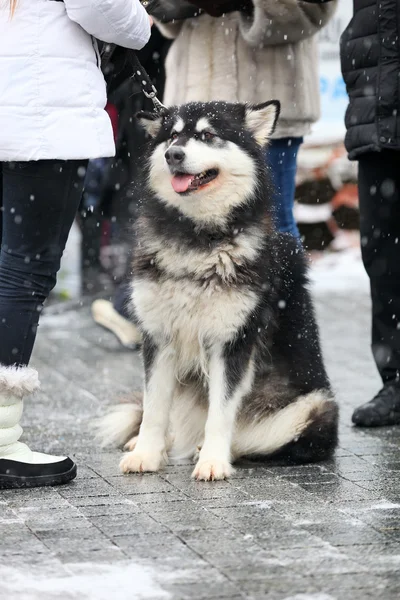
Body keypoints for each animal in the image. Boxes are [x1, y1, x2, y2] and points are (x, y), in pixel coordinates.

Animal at [99, 101, 338, 480]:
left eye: (208, 135)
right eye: (172, 136)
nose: (173, 155)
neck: (198, 241)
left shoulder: (232, 341)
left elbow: (221, 413)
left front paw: (213, 461)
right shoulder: (159, 336)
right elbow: (154, 408)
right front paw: (146, 454)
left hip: (311, 410)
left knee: (257, 440)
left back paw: (208, 450)